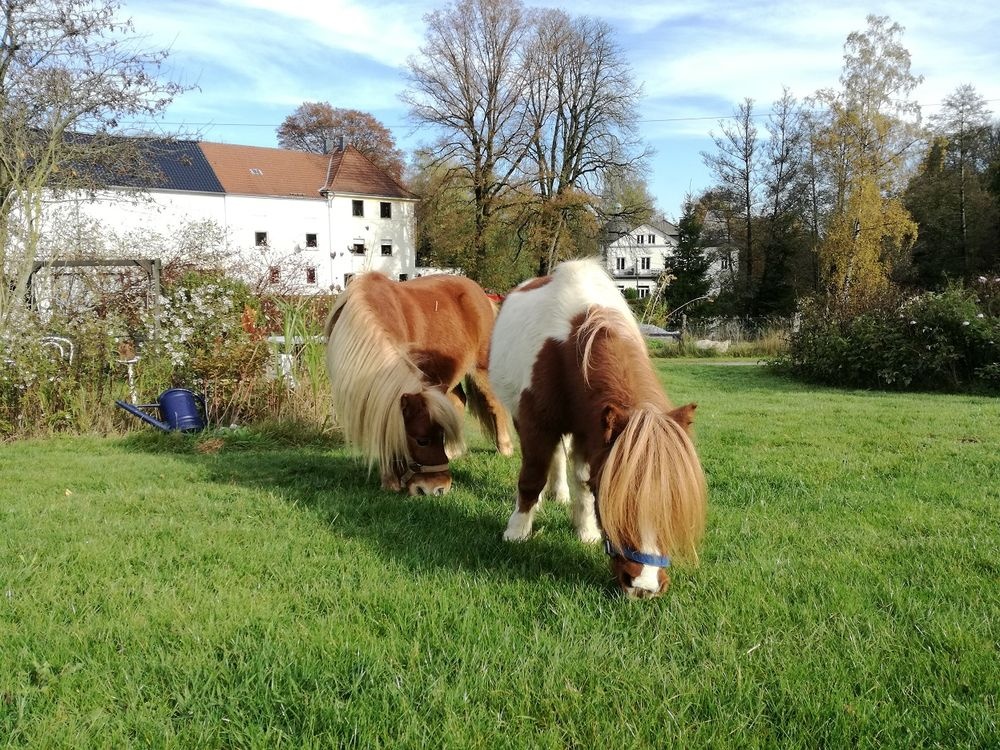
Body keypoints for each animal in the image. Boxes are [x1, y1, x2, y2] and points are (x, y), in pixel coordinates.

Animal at [326, 274, 516, 496]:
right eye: (422, 440)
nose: (439, 488)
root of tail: (482, 294)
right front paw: (389, 481)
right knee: (459, 401)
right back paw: (453, 451)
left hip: (482, 368)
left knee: (494, 403)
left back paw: (505, 448)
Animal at [488, 258, 708, 600]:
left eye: (673, 503)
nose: (643, 587)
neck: (570, 343)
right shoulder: (536, 423)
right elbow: (532, 477)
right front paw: (517, 531)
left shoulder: (591, 431)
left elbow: (583, 481)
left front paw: (586, 529)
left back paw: (560, 494)